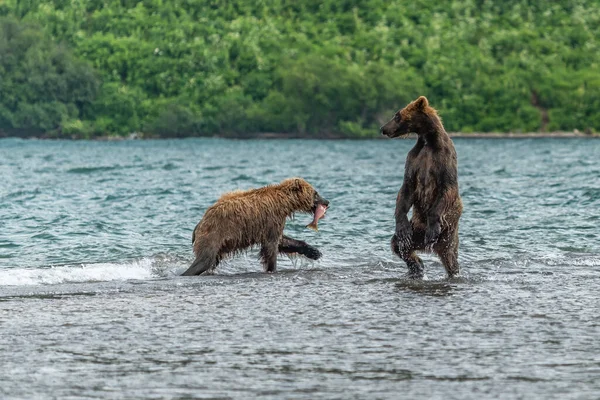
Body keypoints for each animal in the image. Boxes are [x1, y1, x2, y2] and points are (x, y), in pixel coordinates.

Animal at [180, 177, 330, 276]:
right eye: (315, 193)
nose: (327, 201)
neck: (285, 203)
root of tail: (199, 223)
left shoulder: (271, 224)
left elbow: (283, 241)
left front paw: (315, 252)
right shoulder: (271, 218)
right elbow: (271, 246)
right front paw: (272, 268)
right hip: (213, 234)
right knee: (204, 260)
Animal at [382, 96, 462, 278]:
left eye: (397, 115)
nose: (383, 129)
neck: (428, 140)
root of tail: (431, 248)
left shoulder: (444, 158)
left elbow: (448, 186)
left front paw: (432, 228)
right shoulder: (414, 159)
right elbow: (406, 188)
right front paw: (402, 227)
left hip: (447, 234)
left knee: (451, 258)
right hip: (417, 230)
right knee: (398, 244)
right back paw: (417, 265)